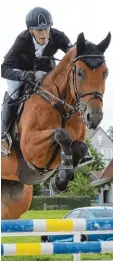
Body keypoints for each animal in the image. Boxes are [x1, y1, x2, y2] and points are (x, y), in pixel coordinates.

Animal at [1, 31, 111, 219]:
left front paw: (59, 180)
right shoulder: (30, 147)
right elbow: (61, 134)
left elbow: (79, 146)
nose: (94, 117)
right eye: (80, 73)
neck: (61, 106)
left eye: (105, 73)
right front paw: (61, 178)